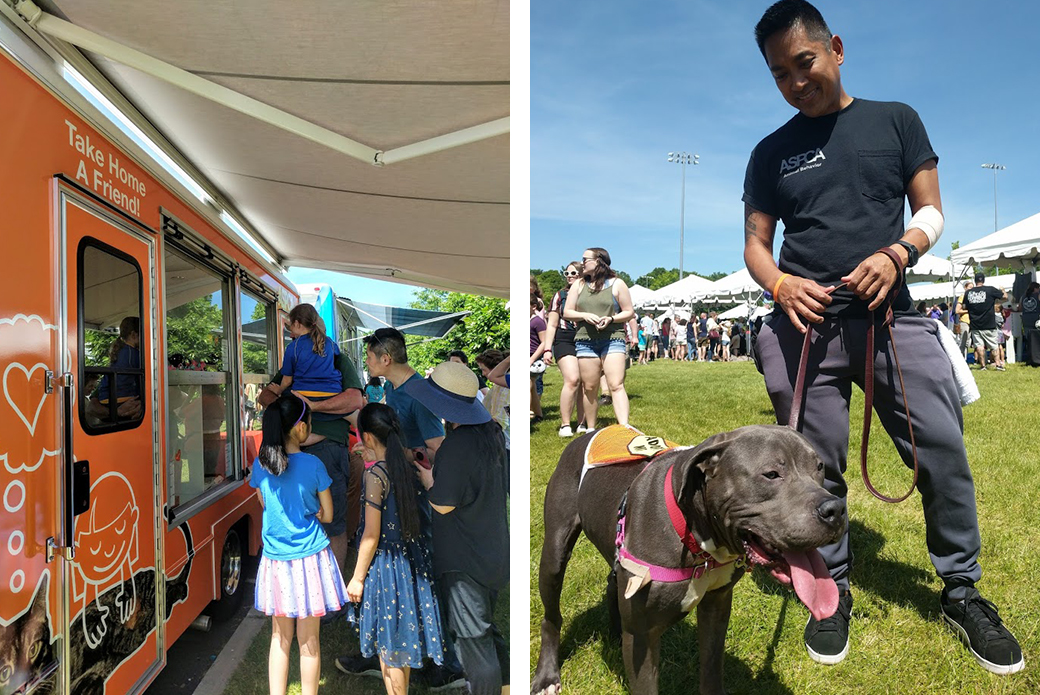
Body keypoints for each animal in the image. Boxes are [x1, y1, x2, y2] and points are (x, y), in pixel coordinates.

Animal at [536, 424, 844, 695]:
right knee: (551, 617)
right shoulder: (642, 636)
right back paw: (547, 677)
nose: (836, 509)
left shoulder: (717, 606)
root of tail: (590, 432)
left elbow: (711, 668)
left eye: (820, 468)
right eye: (771, 474)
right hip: (553, 555)